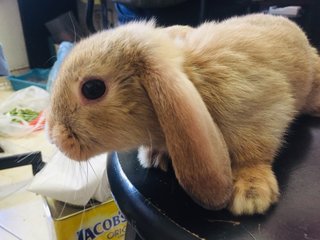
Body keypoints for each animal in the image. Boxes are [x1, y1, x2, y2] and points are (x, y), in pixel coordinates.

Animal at [47, 13, 320, 216]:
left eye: (92, 89)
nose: (53, 136)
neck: (194, 79)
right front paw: (153, 156)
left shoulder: (260, 110)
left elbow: (253, 154)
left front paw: (251, 195)